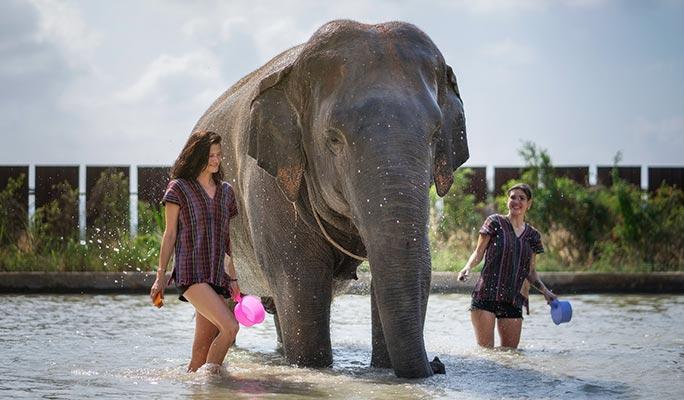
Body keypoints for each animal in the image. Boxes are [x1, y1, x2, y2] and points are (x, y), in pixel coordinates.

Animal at [192, 19, 468, 378]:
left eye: (436, 135)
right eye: (333, 139)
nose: (437, 364)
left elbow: (418, 268)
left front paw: (384, 368)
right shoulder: (268, 187)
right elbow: (301, 286)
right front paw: (312, 367)